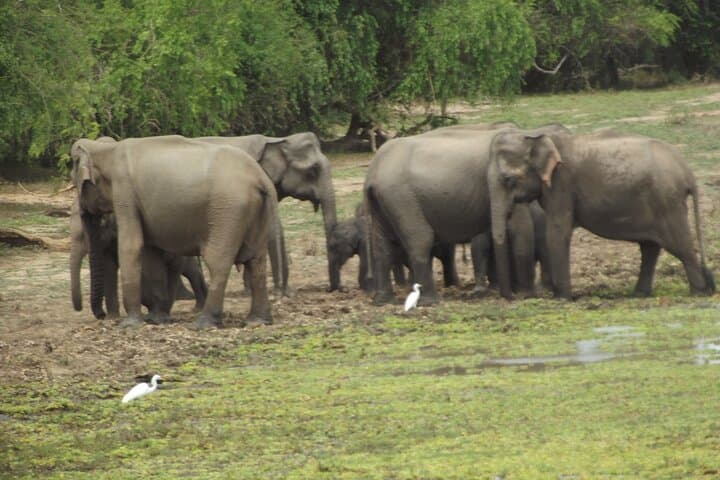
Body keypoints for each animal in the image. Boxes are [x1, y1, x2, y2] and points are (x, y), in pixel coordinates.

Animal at [70, 198, 208, 322]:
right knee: (188, 269)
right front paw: (112, 318)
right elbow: (109, 267)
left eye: (101, 223)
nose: (101, 315)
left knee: (179, 269)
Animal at [487, 128, 715, 298]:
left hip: (667, 202)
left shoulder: (562, 184)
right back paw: (640, 294)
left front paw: (563, 298)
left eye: (508, 179)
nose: (514, 296)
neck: (534, 135)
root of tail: (687, 172)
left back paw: (699, 292)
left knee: (680, 245)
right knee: (650, 247)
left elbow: (558, 232)